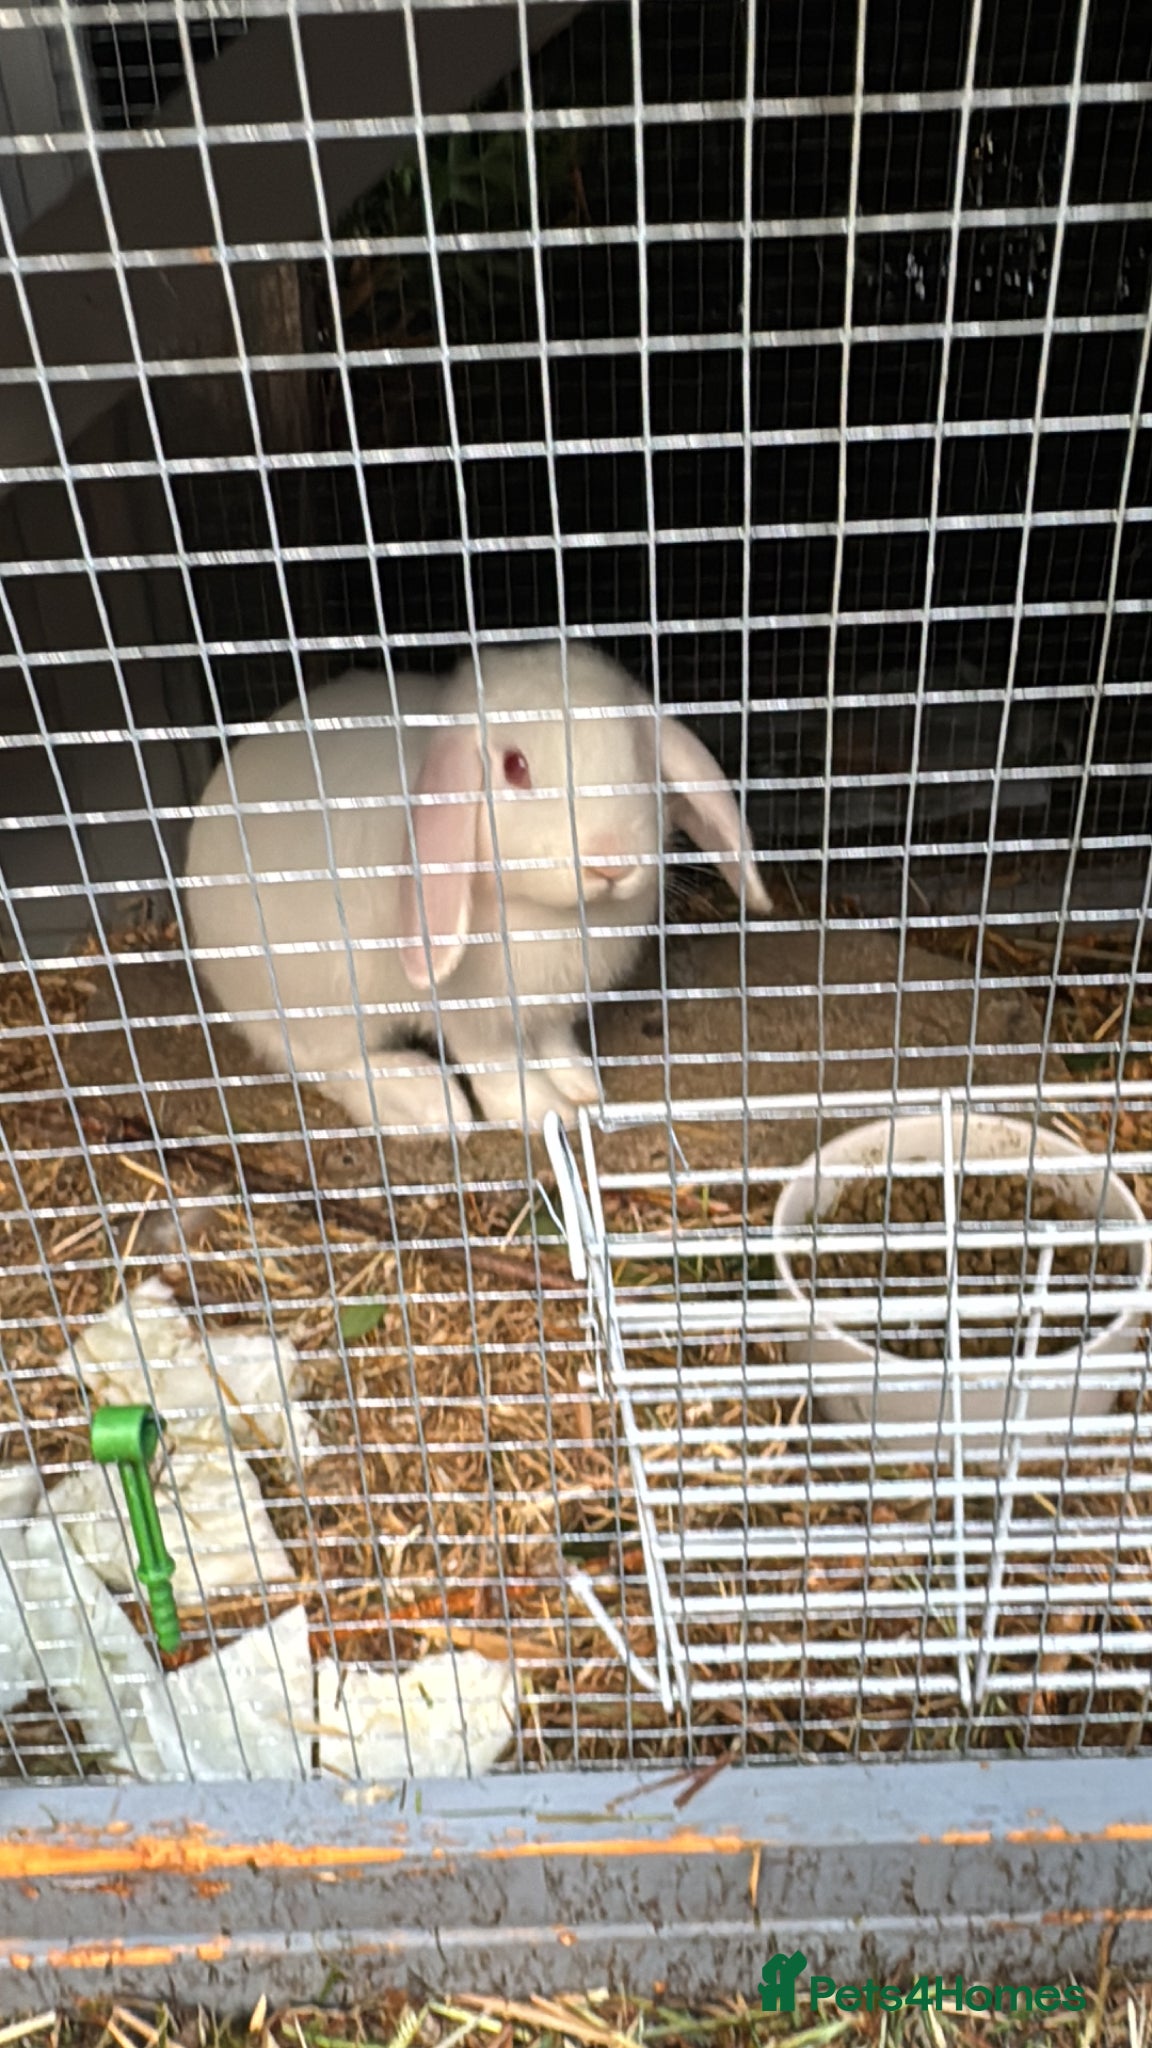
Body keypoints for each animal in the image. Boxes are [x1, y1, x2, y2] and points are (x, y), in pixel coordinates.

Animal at [182, 641, 772, 1133]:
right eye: (514, 766)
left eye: (638, 753)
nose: (611, 862)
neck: (546, 915)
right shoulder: (473, 1016)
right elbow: (499, 1066)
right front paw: (544, 1112)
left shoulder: (552, 1007)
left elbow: (554, 1041)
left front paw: (582, 1087)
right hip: (317, 1005)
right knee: (326, 1064)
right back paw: (430, 1105)